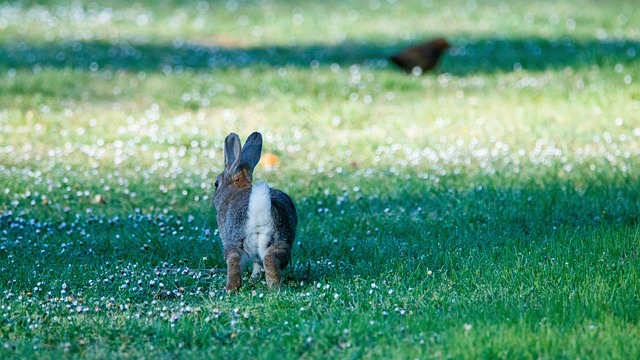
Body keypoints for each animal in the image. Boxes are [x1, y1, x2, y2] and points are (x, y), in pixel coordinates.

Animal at [212, 132, 298, 292]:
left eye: (216, 183)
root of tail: (259, 215)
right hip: (279, 242)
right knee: (268, 259)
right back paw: (273, 287)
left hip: (234, 242)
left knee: (234, 259)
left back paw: (230, 289)